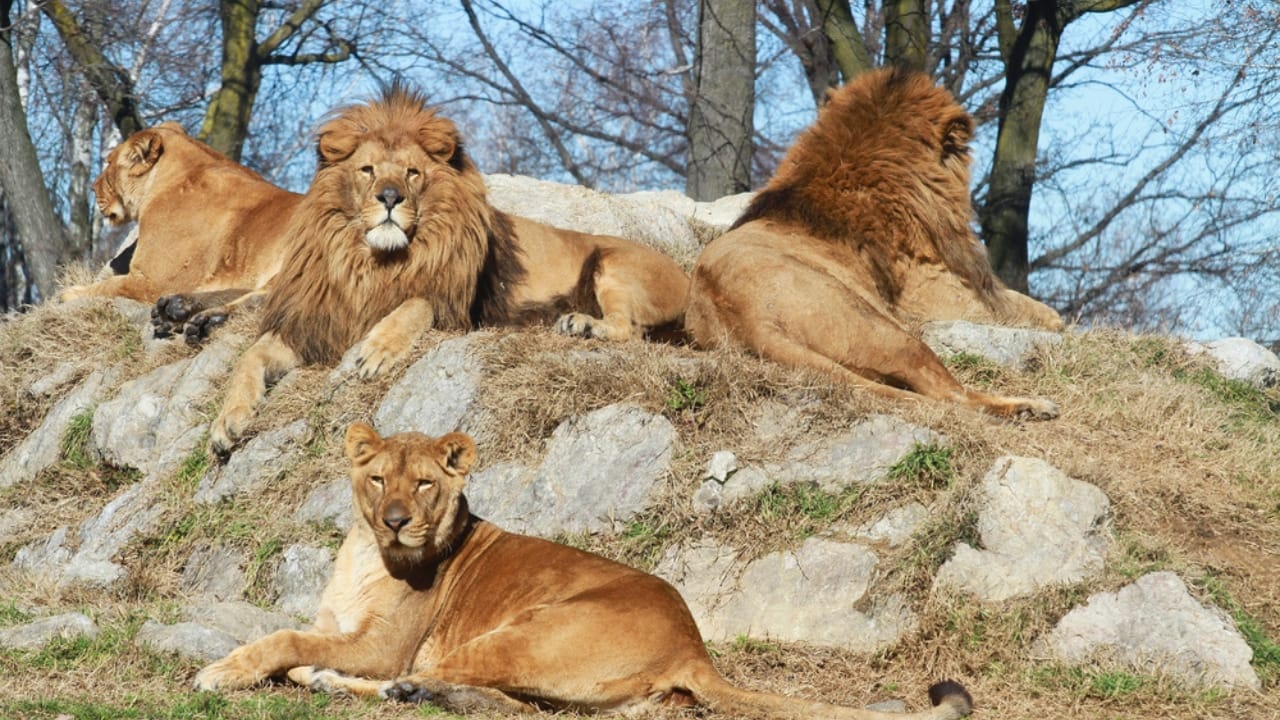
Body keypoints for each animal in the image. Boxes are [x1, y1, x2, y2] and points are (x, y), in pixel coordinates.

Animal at [59, 122, 302, 343]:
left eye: (109, 162)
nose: (93, 187)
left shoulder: (151, 281)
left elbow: (107, 286)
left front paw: (69, 294)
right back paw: (177, 309)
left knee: (268, 301)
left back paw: (204, 318)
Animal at [194, 422, 972, 720]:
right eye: (379, 477)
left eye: (424, 485)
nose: (393, 520)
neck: (367, 555)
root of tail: (692, 644)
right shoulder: (341, 622)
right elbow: (294, 629)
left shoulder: (384, 643)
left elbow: (285, 638)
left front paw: (224, 671)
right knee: (512, 704)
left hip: (528, 630)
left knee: (472, 691)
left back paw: (363, 685)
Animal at [209, 86, 688, 454]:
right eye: (366, 170)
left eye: (412, 173)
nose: (389, 197)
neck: (372, 263)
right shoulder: (315, 326)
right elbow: (249, 358)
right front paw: (227, 421)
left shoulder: (455, 311)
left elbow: (414, 304)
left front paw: (376, 350)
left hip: (612, 262)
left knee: (630, 329)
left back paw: (582, 324)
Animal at [685, 68, 1061, 420]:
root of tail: (750, 320)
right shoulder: (939, 294)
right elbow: (1033, 310)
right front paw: (1056, 322)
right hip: (886, 328)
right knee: (950, 394)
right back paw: (1031, 405)